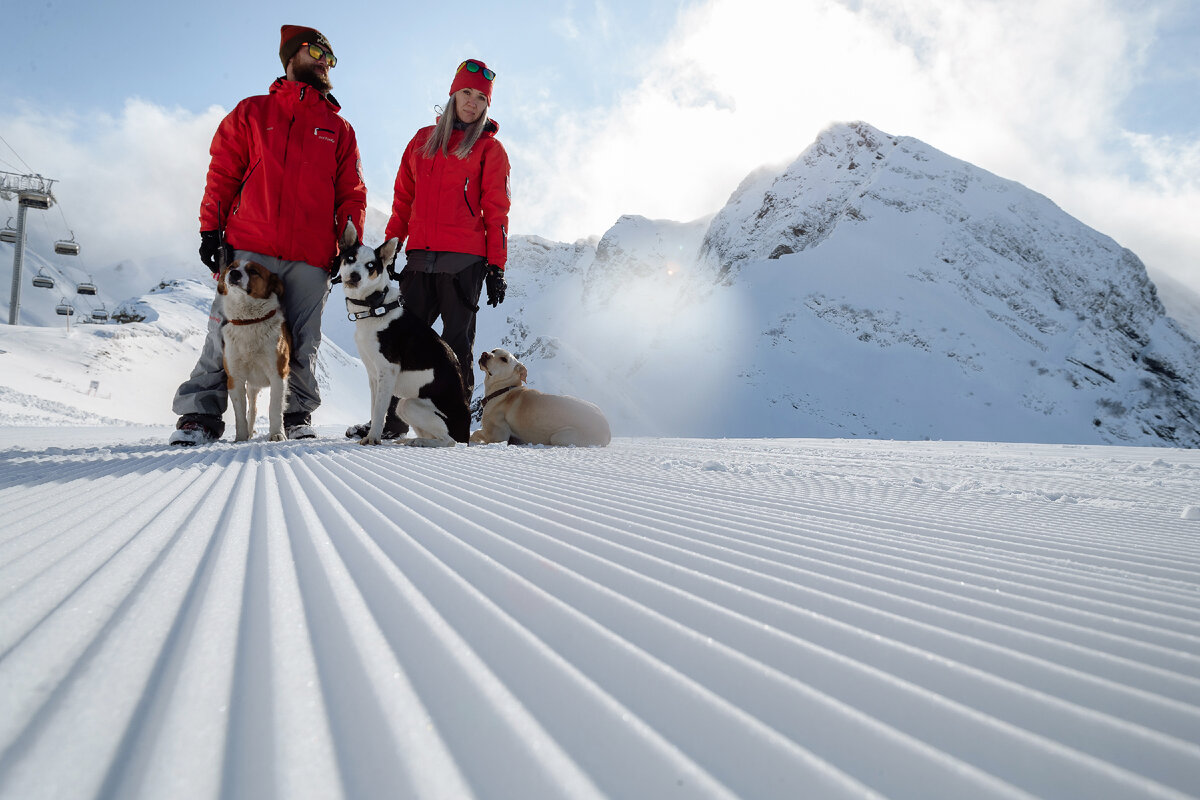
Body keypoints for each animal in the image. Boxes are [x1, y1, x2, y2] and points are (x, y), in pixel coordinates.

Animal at [218, 257, 290, 441]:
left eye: (253, 271)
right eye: (231, 266)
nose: (234, 274)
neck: (249, 322)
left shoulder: (278, 374)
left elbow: (275, 408)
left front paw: (277, 434)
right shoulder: (234, 378)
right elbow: (240, 413)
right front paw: (241, 437)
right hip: (251, 386)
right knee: (252, 411)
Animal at [338, 221, 472, 448]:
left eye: (371, 266)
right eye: (350, 258)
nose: (354, 276)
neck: (376, 307)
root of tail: (466, 432)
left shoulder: (388, 370)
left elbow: (379, 410)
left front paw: (373, 437)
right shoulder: (374, 375)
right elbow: (375, 409)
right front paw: (372, 433)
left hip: (408, 404)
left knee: (448, 441)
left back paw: (419, 442)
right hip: (405, 406)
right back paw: (409, 440)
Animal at [472, 347, 614, 448]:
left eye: (504, 359)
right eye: (493, 351)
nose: (484, 354)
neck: (503, 391)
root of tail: (607, 428)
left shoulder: (498, 435)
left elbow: (475, 433)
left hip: (560, 436)